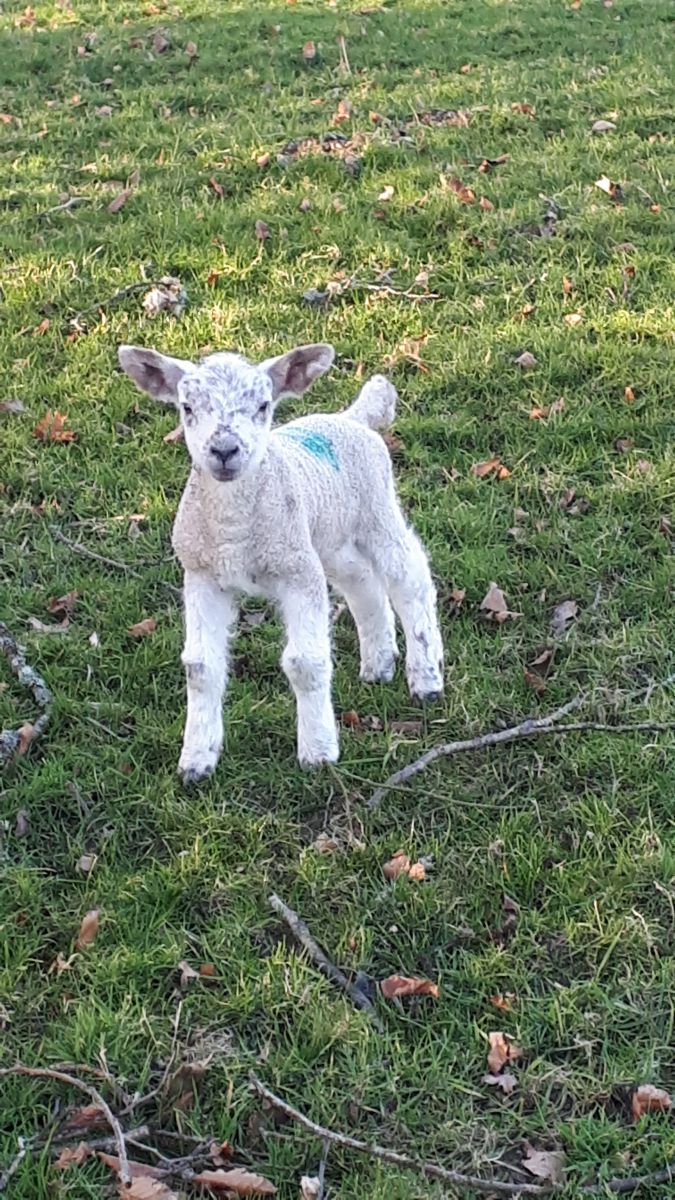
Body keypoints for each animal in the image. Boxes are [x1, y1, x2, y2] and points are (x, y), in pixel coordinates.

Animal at [118, 342, 444, 783]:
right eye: (187, 407)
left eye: (263, 405)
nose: (224, 450)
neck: (234, 532)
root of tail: (351, 417)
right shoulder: (201, 574)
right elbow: (200, 668)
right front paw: (197, 759)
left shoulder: (297, 572)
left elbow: (305, 663)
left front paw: (319, 752)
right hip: (325, 535)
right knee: (362, 582)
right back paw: (378, 664)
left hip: (376, 509)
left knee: (410, 578)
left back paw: (426, 677)